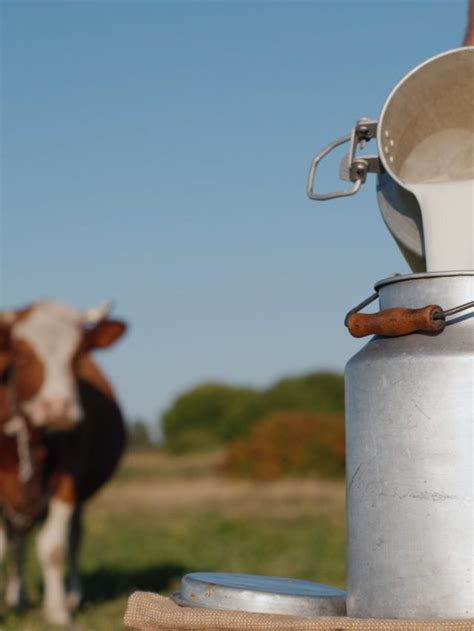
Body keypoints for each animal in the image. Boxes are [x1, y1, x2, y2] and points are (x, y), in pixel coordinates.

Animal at [0, 302, 127, 628]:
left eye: (78, 354)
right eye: (21, 353)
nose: (58, 407)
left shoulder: (69, 479)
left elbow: (54, 547)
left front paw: (57, 611)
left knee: (72, 540)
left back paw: (71, 598)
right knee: (17, 542)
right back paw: (16, 599)